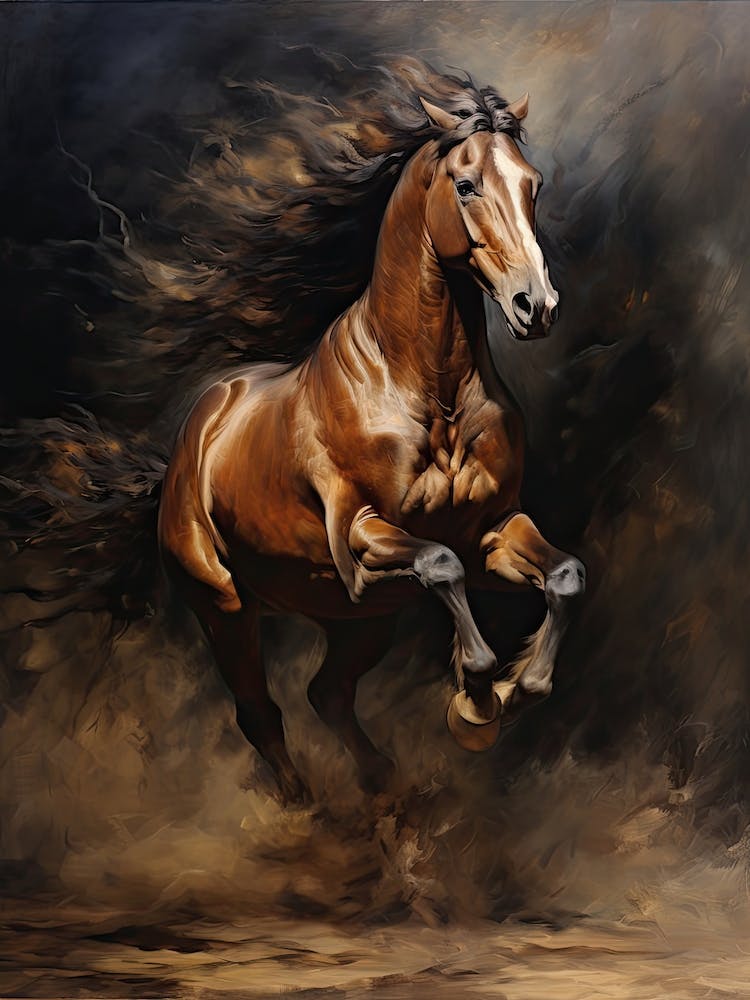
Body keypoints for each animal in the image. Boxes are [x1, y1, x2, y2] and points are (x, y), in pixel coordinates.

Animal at [158, 87, 586, 801]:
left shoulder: (492, 532)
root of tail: (205, 417)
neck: (428, 390)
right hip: (224, 607)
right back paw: (309, 805)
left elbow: (564, 576)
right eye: (466, 185)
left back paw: (382, 781)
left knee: (327, 693)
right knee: (259, 712)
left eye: (534, 184)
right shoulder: (361, 541)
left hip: (357, 620)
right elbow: (441, 565)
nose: (537, 306)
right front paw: (475, 705)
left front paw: (512, 689)